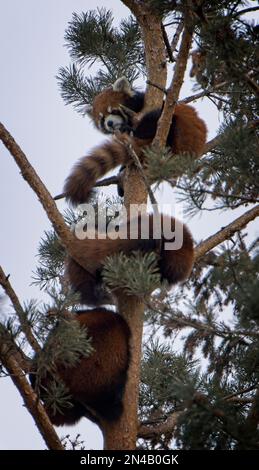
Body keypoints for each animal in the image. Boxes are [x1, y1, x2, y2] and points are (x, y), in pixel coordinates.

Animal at [63, 77, 207, 206]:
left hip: (177, 128)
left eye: (113, 110)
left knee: (158, 118)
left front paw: (129, 129)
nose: (109, 123)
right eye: (102, 119)